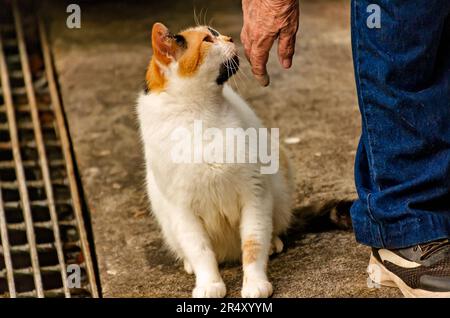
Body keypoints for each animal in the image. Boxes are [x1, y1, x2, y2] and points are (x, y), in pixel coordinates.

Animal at [135, 22, 294, 298]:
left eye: (216, 33)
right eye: (208, 40)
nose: (230, 38)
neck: (200, 115)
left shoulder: (255, 194)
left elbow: (253, 244)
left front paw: (255, 283)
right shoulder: (182, 211)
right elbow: (200, 251)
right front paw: (209, 283)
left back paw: (274, 243)